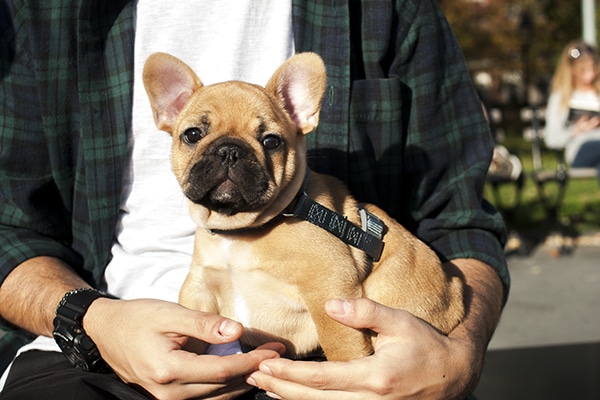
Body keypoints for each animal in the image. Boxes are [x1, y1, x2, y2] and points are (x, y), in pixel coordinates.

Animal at [142, 51, 464, 360]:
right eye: (193, 134)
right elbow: (191, 328)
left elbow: (342, 345)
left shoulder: (329, 288)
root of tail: (457, 294)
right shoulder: (200, 288)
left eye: (271, 141)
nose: (230, 151)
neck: (239, 230)